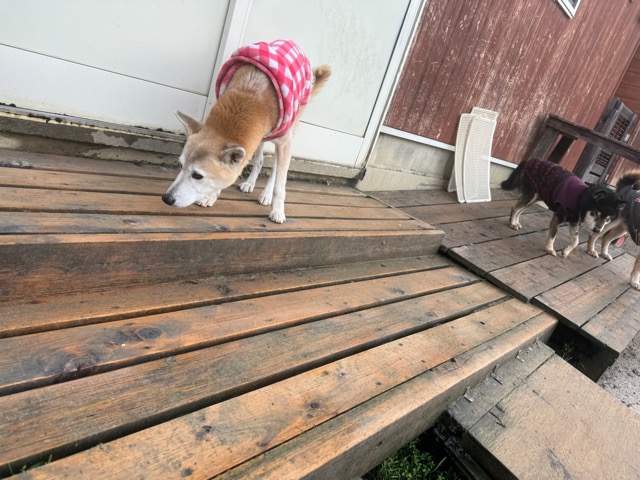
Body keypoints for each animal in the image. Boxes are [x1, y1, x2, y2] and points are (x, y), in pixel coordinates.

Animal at [162, 39, 331, 223]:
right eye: (180, 165)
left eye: (197, 176)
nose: (166, 199)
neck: (250, 96)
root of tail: (295, 45)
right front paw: (211, 196)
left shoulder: (284, 142)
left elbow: (280, 184)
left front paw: (278, 210)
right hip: (263, 138)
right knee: (259, 160)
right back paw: (250, 183)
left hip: (287, 131)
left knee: (276, 169)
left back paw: (267, 195)